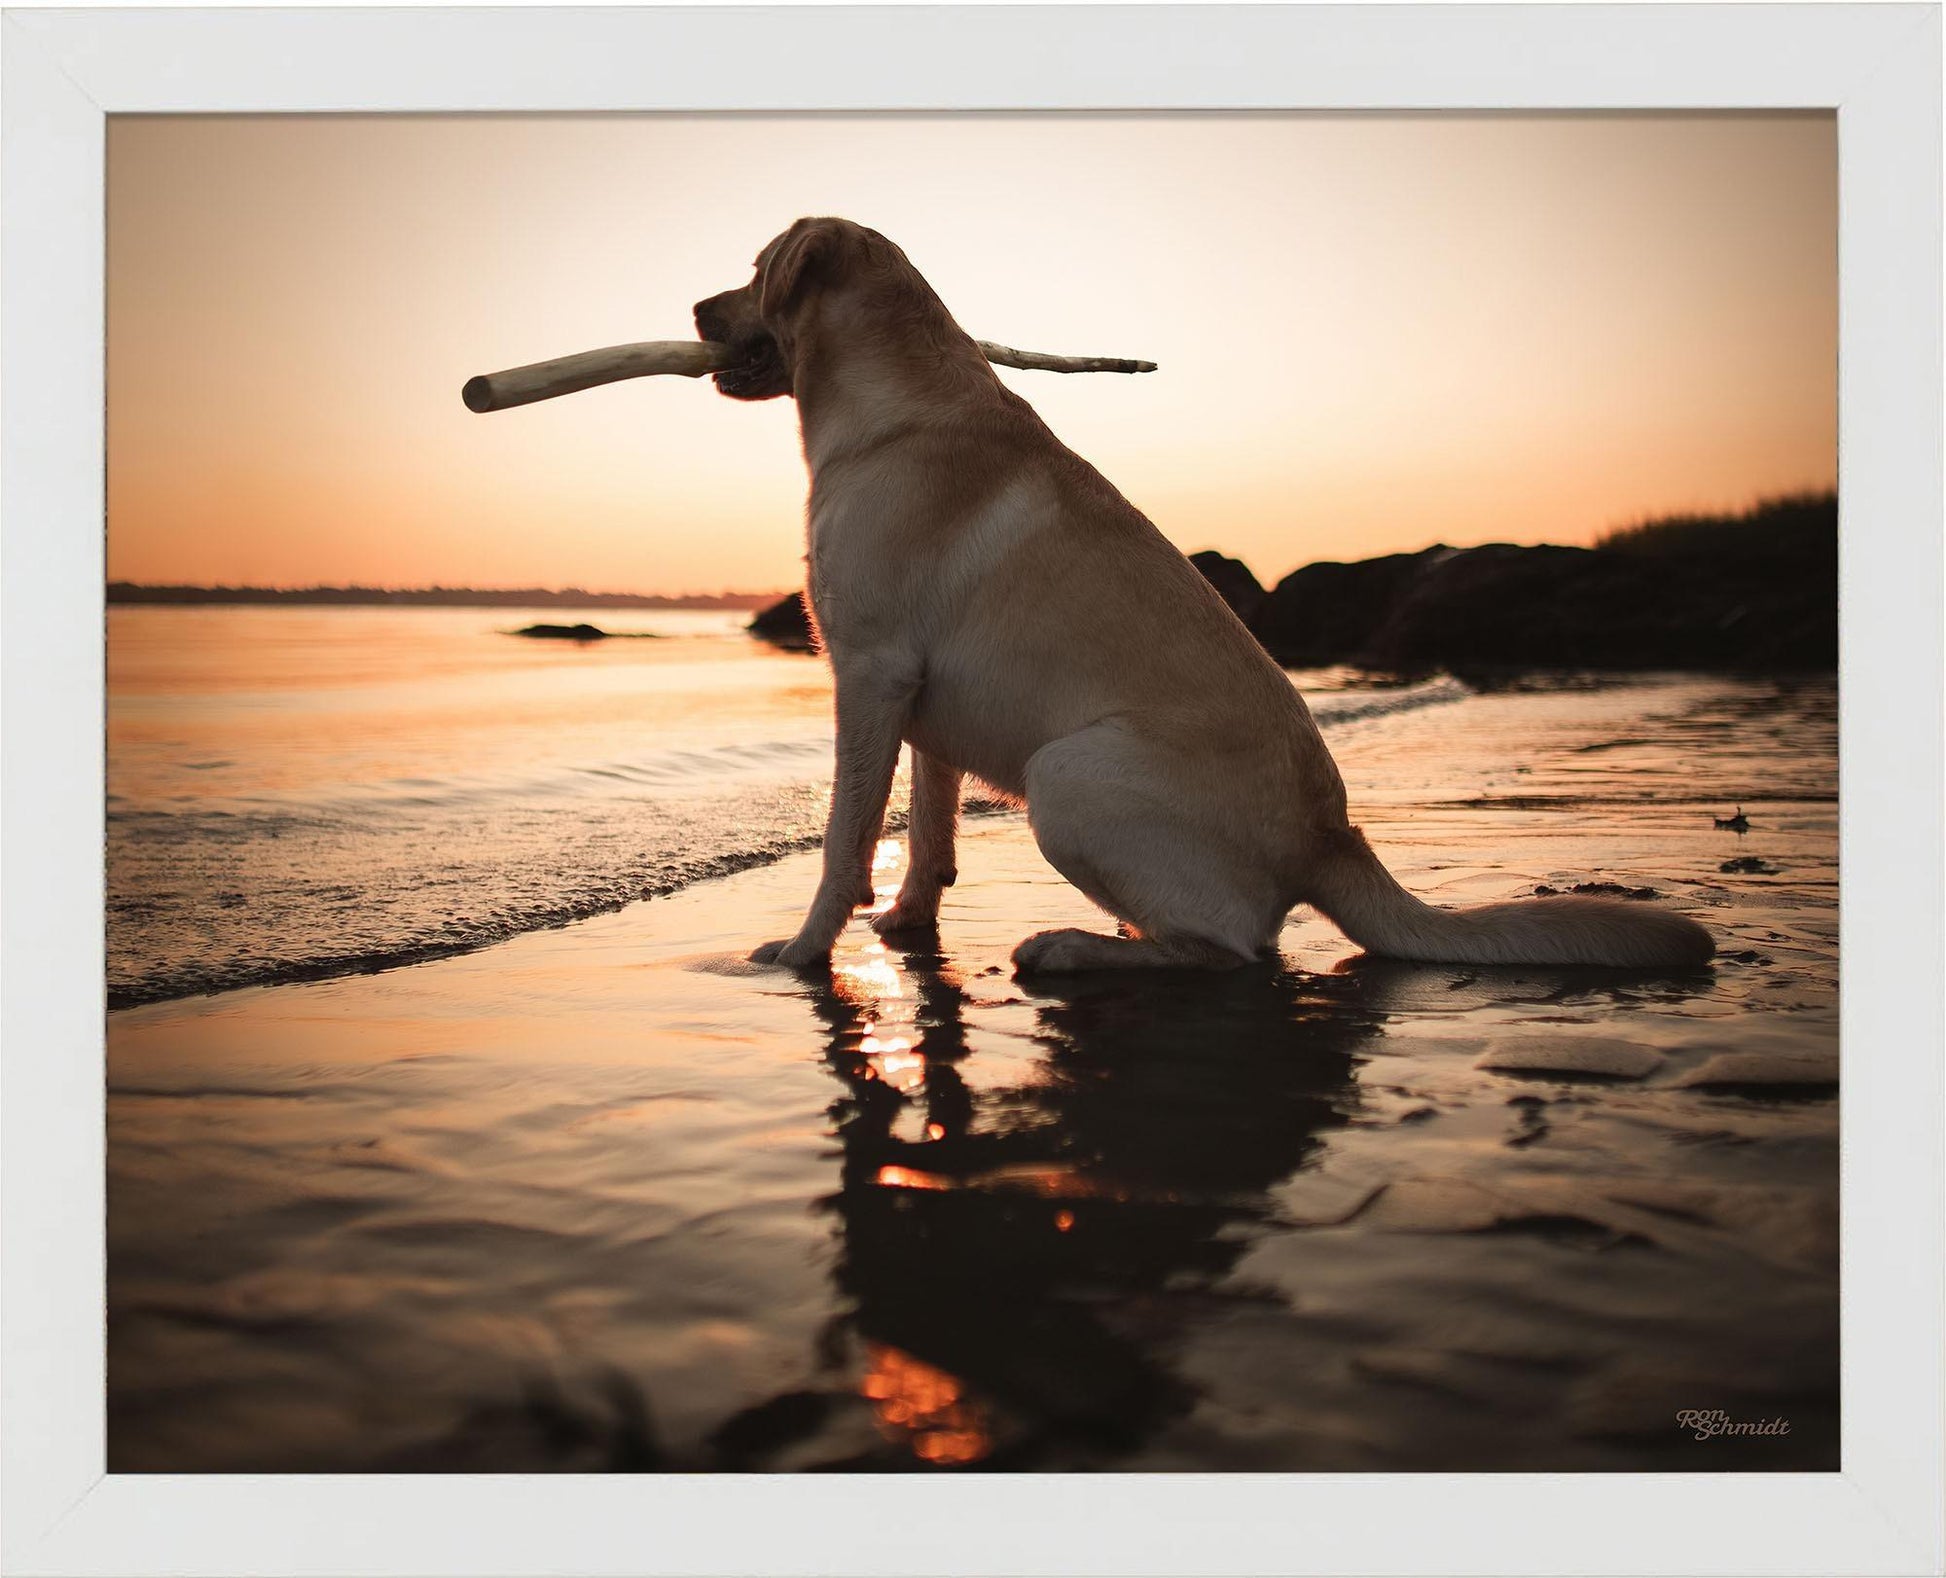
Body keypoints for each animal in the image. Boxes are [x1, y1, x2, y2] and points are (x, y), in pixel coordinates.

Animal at [692, 214, 1712, 968]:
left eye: (755, 270)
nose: (697, 307)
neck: (893, 401)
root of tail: (1333, 838)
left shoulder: (869, 673)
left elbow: (845, 836)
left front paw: (804, 951)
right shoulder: (920, 696)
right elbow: (929, 825)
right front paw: (905, 921)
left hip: (1065, 772)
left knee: (1232, 949)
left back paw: (1077, 947)